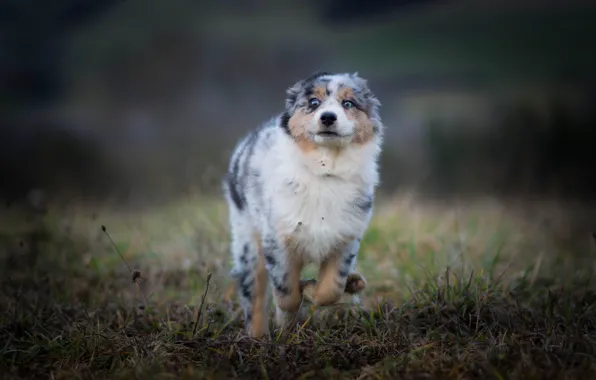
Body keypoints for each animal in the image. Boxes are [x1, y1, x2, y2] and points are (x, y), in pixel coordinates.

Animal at [221, 70, 384, 336]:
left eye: (348, 103)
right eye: (313, 103)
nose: (328, 117)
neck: (325, 170)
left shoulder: (345, 238)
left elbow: (329, 290)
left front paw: (323, 287)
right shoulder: (277, 238)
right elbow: (286, 293)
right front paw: (302, 291)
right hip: (247, 244)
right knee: (254, 299)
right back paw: (260, 337)